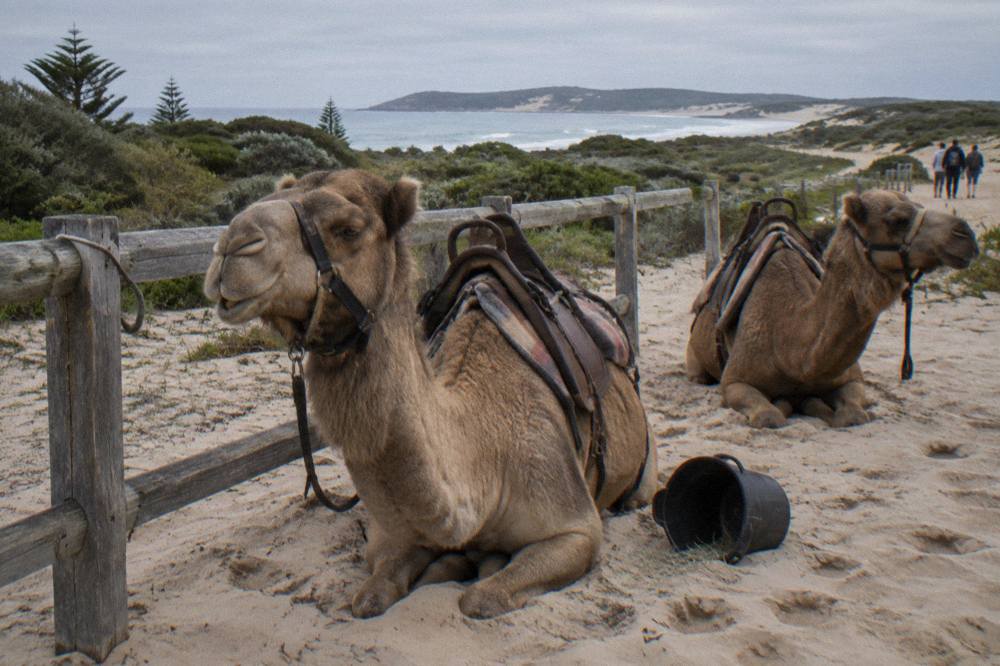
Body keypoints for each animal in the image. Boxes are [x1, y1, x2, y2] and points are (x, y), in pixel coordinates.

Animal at [203, 169, 656, 619]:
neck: (486, 463)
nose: (232, 245)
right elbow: (369, 596)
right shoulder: (389, 540)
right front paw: (444, 565)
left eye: (348, 229)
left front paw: (474, 567)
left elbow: (479, 599)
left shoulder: (576, 529)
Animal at [686, 190, 978, 428]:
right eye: (897, 219)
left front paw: (813, 403)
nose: (966, 235)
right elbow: (770, 417)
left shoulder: (853, 380)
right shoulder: (733, 382)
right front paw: (790, 403)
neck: (790, 348)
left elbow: (853, 414)